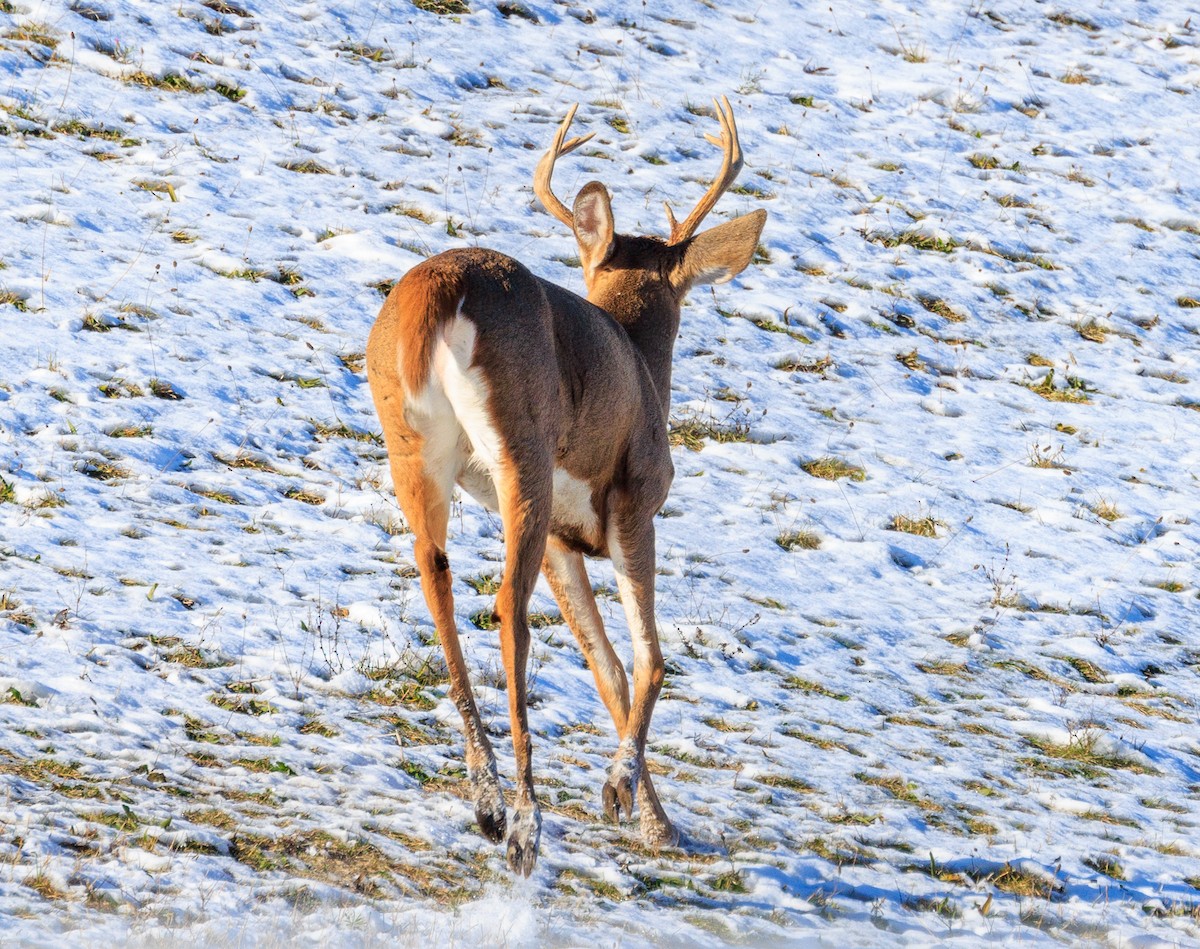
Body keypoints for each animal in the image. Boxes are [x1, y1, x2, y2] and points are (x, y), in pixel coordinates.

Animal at [366, 97, 766, 875]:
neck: (640, 361)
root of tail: (439, 296)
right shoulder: (636, 503)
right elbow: (648, 659)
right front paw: (627, 798)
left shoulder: (564, 537)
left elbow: (607, 667)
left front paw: (656, 823)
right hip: (521, 450)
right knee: (507, 612)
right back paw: (525, 822)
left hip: (411, 445)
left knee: (437, 578)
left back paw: (488, 799)